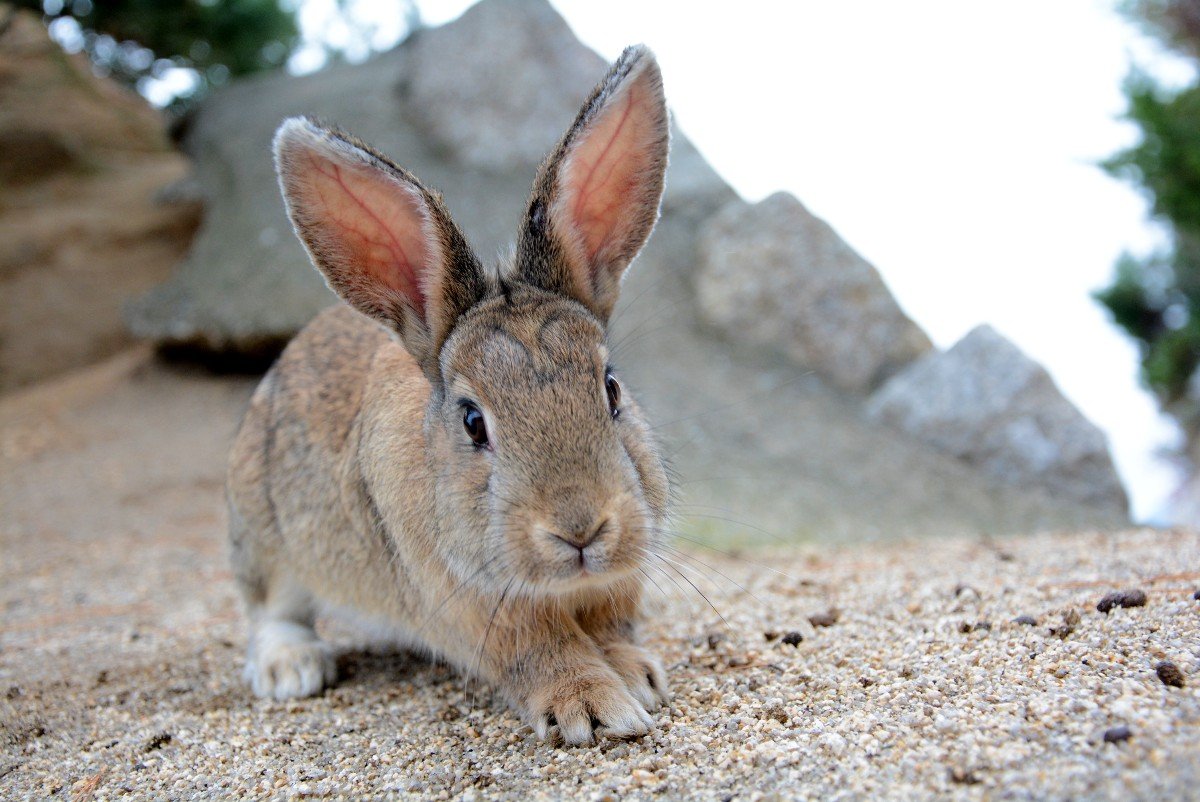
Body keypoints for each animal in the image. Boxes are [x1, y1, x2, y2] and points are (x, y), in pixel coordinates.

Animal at [226, 43, 676, 744]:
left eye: (610, 389)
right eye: (471, 421)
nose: (579, 529)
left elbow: (611, 631)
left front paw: (637, 675)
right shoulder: (477, 609)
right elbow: (543, 652)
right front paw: (595, 708)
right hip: (262, 530)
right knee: (271, 610)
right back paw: (292, 670)